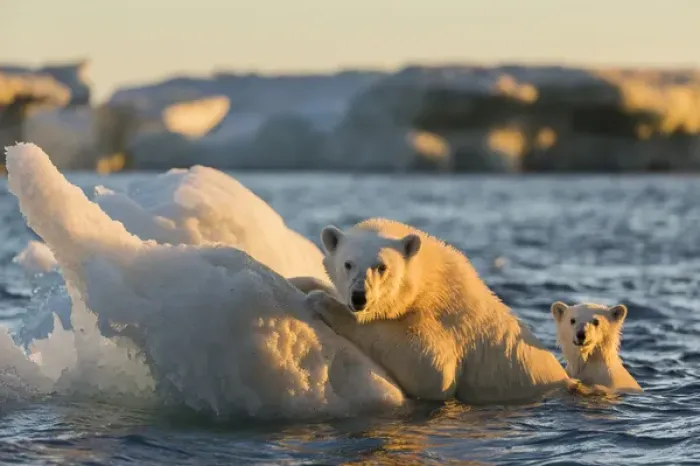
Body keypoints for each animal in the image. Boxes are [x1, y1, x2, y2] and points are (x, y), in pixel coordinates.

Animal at [305, 217, 596, 404]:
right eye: (348, 264)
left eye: (381, 267)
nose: (359, 297)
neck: (430, 280)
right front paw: (312, 284)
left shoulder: (446, 320)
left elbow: (433, 369)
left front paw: (323, 302)